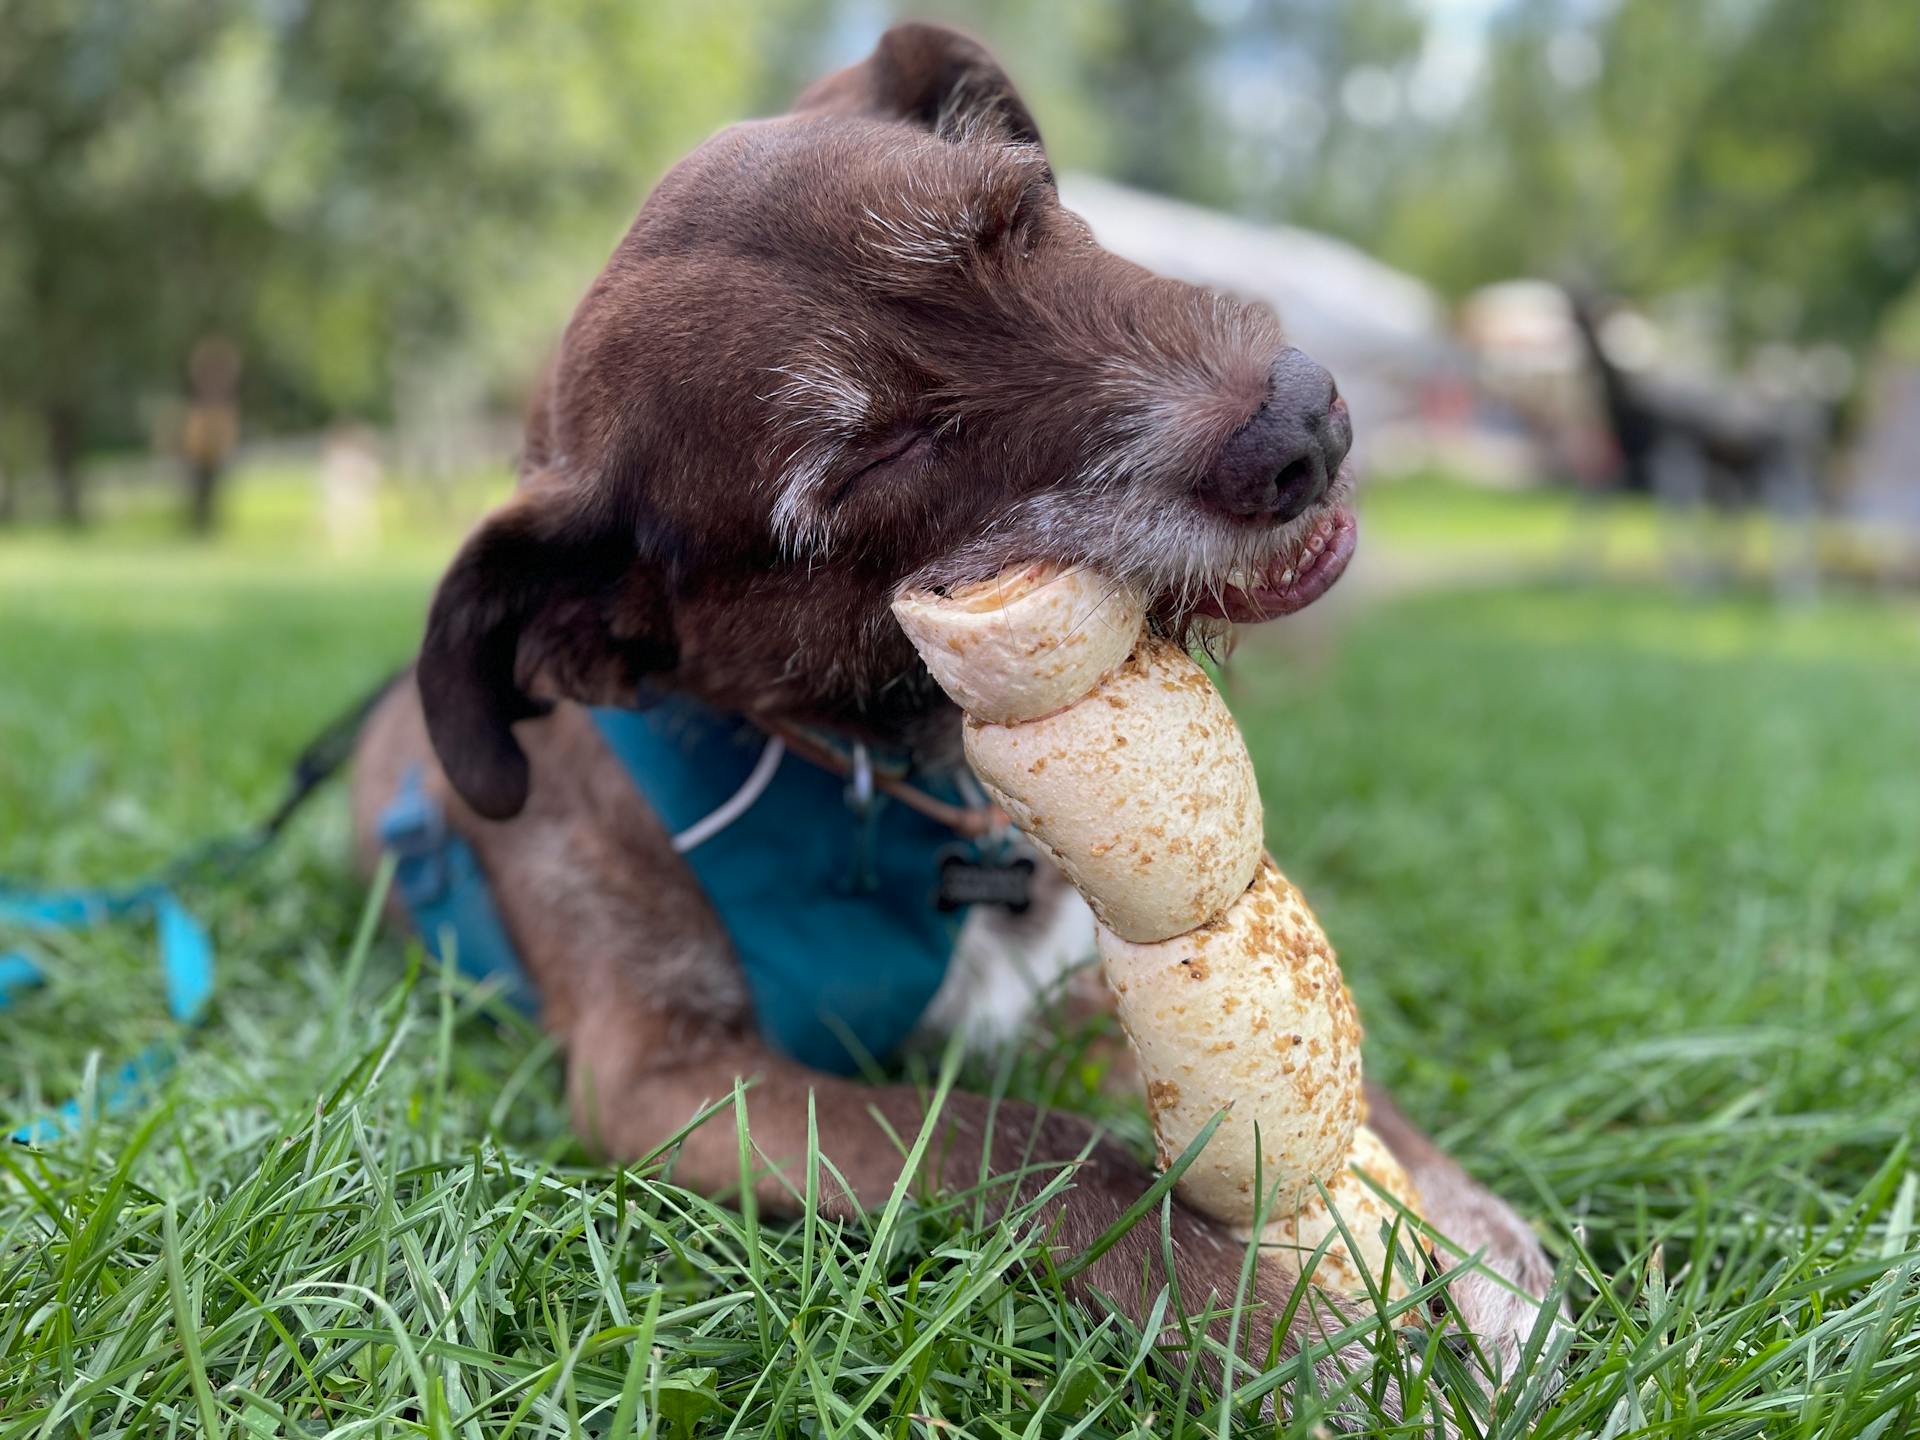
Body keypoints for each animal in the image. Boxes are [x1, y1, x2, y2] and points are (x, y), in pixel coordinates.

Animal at [349, 19, 1559, 1397]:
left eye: (1018, 213)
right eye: (875, 457)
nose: (1302, 425)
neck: (884, 773)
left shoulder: (1080, 992)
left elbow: (1362, 1097)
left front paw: (1464, 1236)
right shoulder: (671, 1083)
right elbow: (1020, 1141)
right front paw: (1267, 1311)